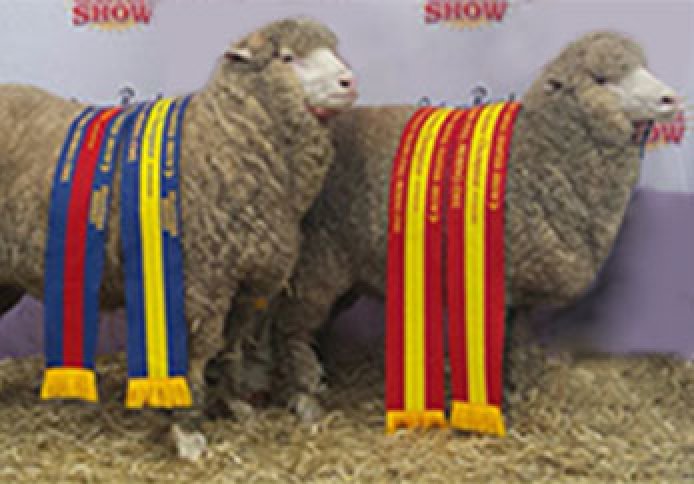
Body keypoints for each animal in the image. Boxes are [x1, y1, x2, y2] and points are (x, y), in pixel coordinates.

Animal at [0, 15, 358, 454]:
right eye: (288, 58)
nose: (349, 81)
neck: (226, 143)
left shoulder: (245, 286)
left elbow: (229, 346)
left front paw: (233, 404)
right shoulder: (196, 285)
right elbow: (196, 355)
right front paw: (188, 430)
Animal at [220, 31, 684, 424]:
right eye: (602, 79)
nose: (670, 99)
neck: (538, 156)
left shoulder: (520, 293)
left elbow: (517, 342)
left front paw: (517, 389)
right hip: (317, 264)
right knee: (290, 327)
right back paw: (303, 398)